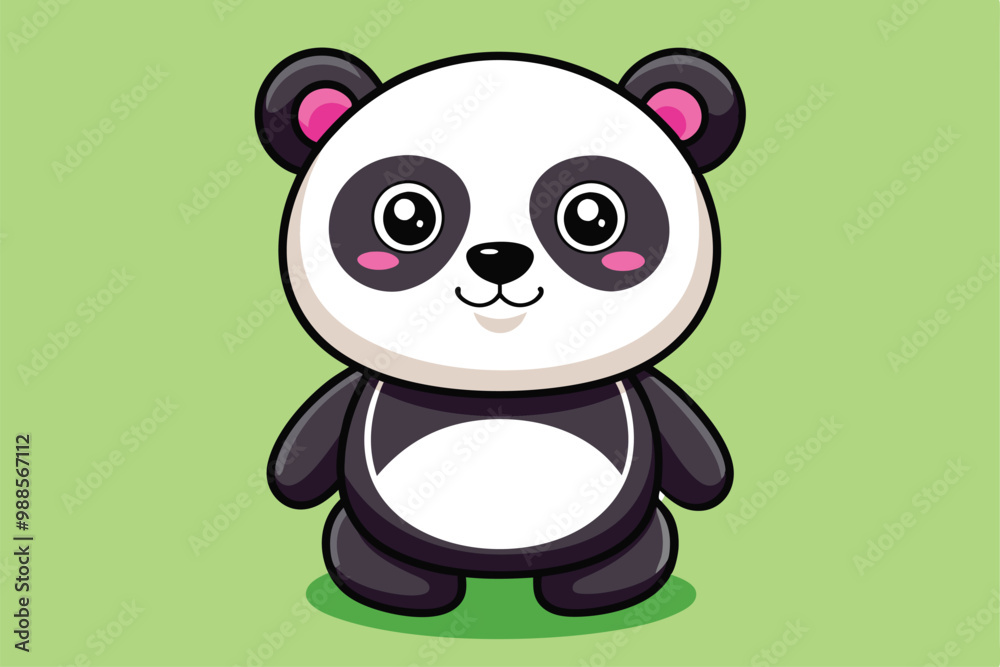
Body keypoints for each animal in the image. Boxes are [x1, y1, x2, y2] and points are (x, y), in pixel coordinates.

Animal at [256, 48, 743, 617]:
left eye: (593, 217)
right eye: (406, 216)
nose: (499, 257)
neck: (501, 386)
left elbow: (696, 457)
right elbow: (307, 449)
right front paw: (286, 479)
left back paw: (595, 587)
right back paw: (404, 586)